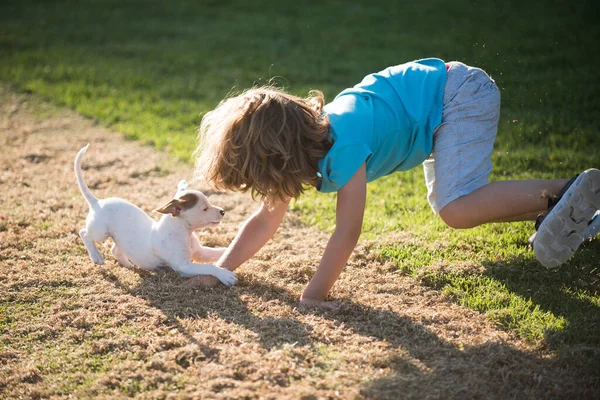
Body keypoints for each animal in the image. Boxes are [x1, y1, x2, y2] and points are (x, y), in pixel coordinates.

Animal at [74, 142, 236, 286]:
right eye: (205, 209)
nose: (223, 211)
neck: (183, 232)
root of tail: (97, 202)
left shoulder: (201, 252)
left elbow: (218, 252)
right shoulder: (183, 266)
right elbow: (209, 266)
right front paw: (225, 275)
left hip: (120, 238)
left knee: (115, 249)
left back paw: (128, 264)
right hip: (100, 232)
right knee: (84, 233)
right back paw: (96, 256)